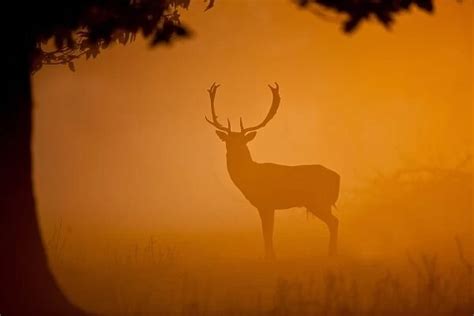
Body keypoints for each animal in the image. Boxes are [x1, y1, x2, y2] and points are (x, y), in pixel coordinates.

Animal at [206, 82, 338, 258]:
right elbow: (267, 232)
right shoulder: (266, 206)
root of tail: (337, 177)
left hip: (319, 201)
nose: (234, 152)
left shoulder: (266, 203)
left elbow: (267, 233)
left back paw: (331, 254)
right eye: (227, 141)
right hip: (321, 203)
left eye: (242, 141)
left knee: (334, 222)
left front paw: (271, 257)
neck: (251, 177)